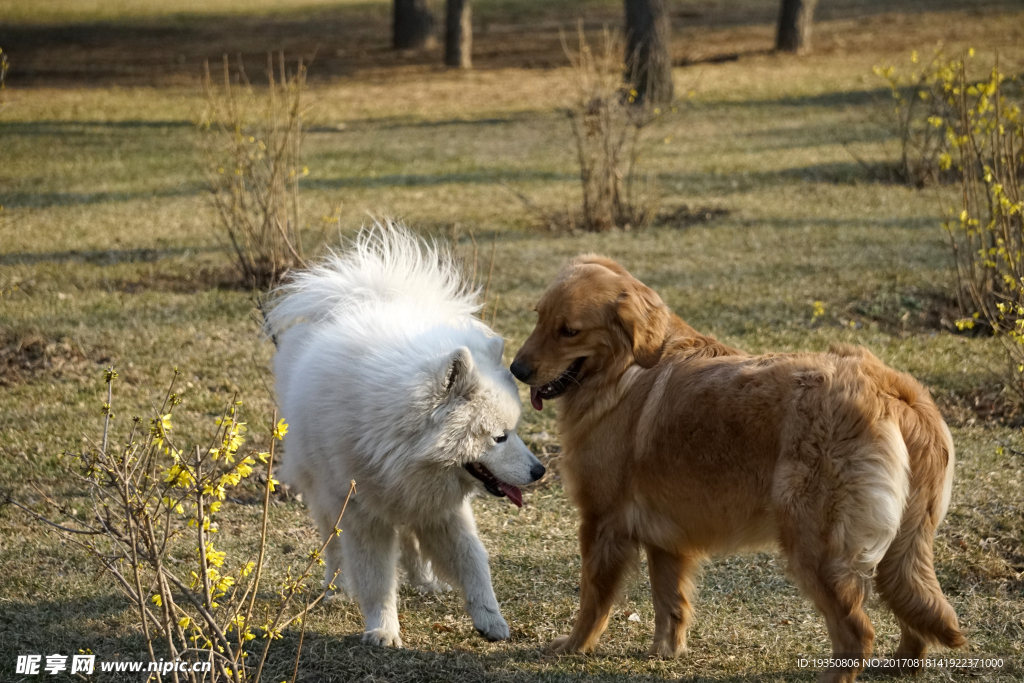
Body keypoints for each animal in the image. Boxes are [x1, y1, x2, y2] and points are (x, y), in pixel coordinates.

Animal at [268, 223, 548, 647]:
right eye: (499, 437)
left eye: (513, 432)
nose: (540, 471)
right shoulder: (362, 513)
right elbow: (376, 579)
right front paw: (383, 628)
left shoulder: (443, 510)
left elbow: (473, 562)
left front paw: (491, 619)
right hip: (323, 492)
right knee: (333, 544)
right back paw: (335, 588)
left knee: (412, 540)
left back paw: (425, 581)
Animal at [512, 254, 966, 683]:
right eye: (537, 317)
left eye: (569, 331)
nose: (516, 369)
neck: (624, 370)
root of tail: (892, 389)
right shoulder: (666, 537)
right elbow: (669, 602)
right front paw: (665, 653)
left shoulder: (601, 521)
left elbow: (593, 599)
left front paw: (574, 646)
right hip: (899, 549)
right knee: (911, 612)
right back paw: (901, 665)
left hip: (816, 548)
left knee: (857, 633)